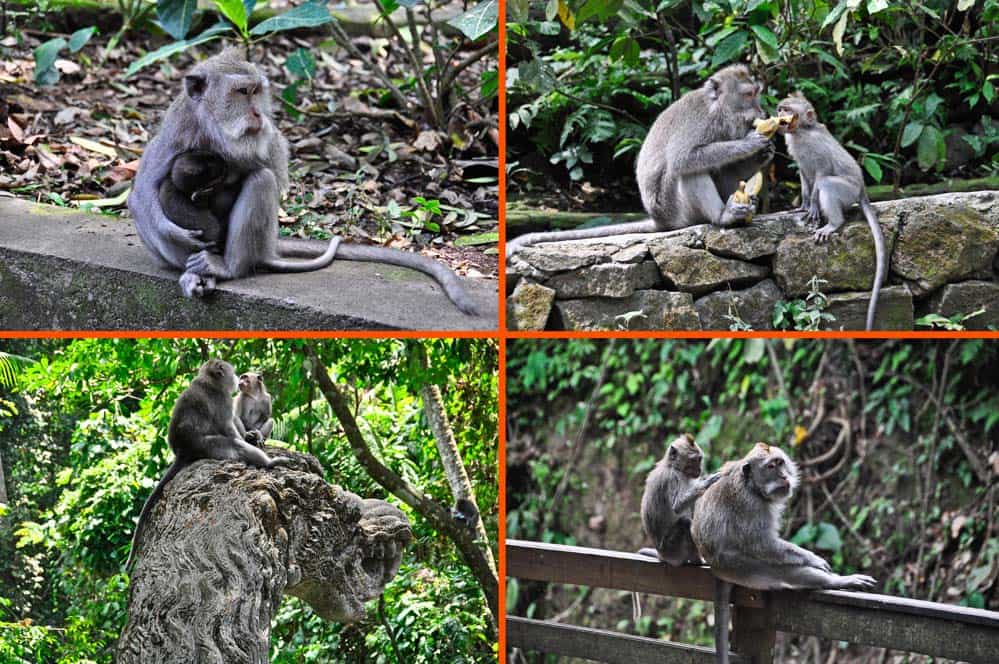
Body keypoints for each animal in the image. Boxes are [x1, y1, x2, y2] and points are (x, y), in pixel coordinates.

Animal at [125, 359, 291, 571]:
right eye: (237, 374)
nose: (238, 379)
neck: (209, 381)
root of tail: (183, 452)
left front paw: (257, 436)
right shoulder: (223, 400)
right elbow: (230, 429)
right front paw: (250, 439)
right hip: (209, 446)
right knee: (235, 446)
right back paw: (269, 462)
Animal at [128, 48, 478, 315]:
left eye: (256, 91)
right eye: (241, 92)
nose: (258, 114)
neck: (216, 130)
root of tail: (267, 247)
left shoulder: (262, 139)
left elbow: (271, 171)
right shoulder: (179, 128)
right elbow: (143, 192)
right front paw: (174, 231)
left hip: (257, 243)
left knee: (262, 180)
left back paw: (227, 268)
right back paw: (193, 274)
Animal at [506, 65, 773, 259]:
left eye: (756, 93)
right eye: (749, 95)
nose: (762, 112)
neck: (717, 111)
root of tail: (659, 220)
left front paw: (765, 153)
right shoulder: (698, 121)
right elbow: (683, 159)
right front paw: (750, 143)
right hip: (676, 209)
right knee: (688, 171)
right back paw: (722, 216)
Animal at [691, 443, 876, 664]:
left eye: (780, 463)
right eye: (771, 466)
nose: (783, 476)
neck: (752, 486)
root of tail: (714, 566)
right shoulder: (751, 505)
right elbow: (761, 544)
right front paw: (814, 559)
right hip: (738, 566)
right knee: (783, 571)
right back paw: (838, 581)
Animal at [777, 92, 887, 331]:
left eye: (788, 110)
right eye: (781, 109)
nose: (779, 114)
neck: (801, 131)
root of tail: (862, 189)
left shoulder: (815, 147)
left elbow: (822, 171)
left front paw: (813, 206)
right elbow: (804, 174)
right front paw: (804, 204)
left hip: (848, 191)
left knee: (827, 183)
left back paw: (833, 224)